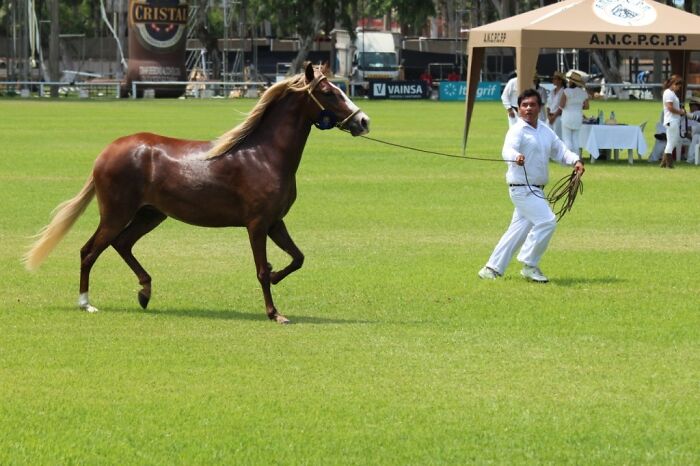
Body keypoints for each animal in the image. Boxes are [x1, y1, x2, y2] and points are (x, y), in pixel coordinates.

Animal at [23, 63, 370, 322]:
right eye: (328, 92)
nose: (364, 121)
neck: (263, 155)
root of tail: (107, 151)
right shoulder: (257, 224)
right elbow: (261, 269)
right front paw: (275, 313)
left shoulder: (275, 222)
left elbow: (297, 258)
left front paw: (275, 279)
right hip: (116, 214)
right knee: (90, 250)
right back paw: (86, 303)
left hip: (151, 214)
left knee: (122, 244)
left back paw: (144, 292)